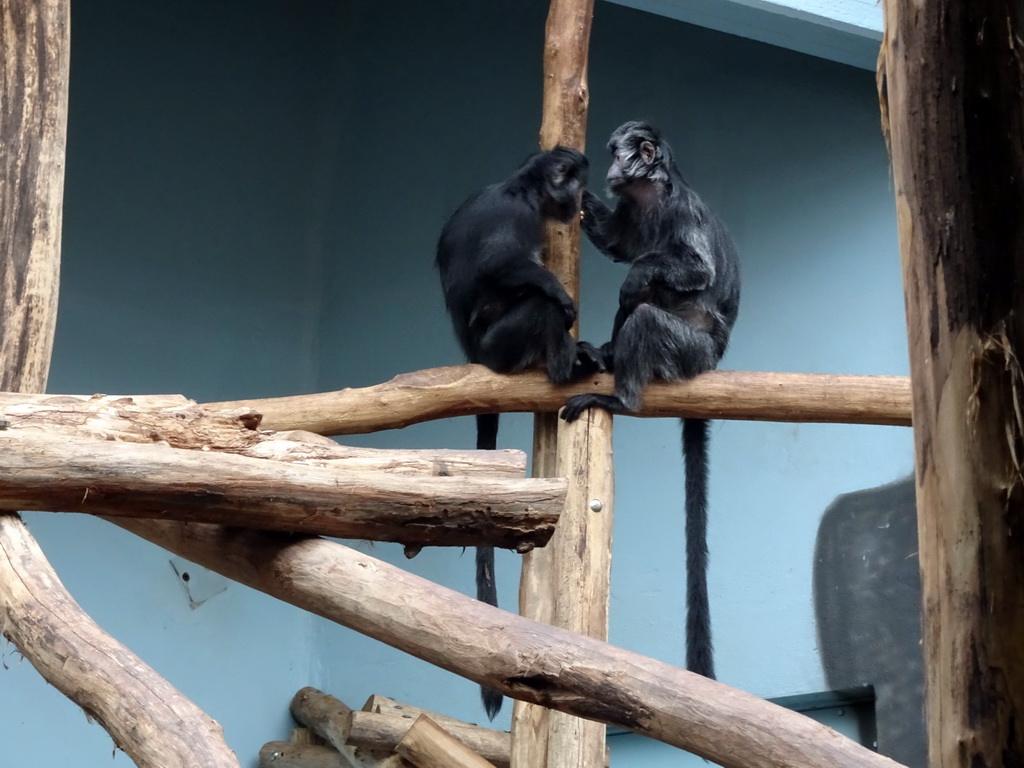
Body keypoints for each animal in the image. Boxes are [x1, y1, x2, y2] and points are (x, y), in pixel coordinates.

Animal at [436, 147, 602, 720]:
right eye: (572, 182)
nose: (581, 197)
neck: (521, 188)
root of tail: (475, 356)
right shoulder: (519, 217)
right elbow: (500, 267)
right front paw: (560, 296)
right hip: (503, 346)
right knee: (539, 305)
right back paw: (566, 365)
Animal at [565, 120, 741, 679]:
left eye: (623, 153)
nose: (613, 167)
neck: (652, 196)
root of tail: (713, 362)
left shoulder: (681, 211)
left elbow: (690, 270)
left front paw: (638, 274)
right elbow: (620, 243)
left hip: (688, 351)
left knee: (644, 310)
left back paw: (621, 397)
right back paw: (603, 355)